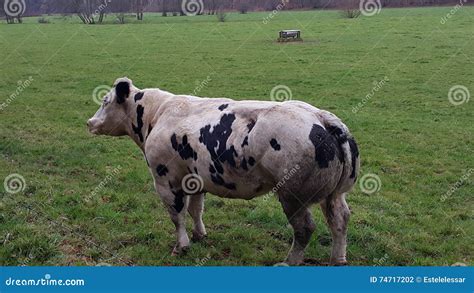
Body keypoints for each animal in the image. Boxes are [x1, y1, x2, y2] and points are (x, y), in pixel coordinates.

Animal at [89, 77, 362, 264]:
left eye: (105, 101)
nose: (89, 122)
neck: (158, 115)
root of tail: (321, 117)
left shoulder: (166, 180)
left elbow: (177, 214)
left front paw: (181, 246)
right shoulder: (195, 178)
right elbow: (196, 209)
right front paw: (200, 235)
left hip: (292, 195)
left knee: (305, 229)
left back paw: (289, 262)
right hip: (334, 194)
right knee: (340, 220)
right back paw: (338, 260)